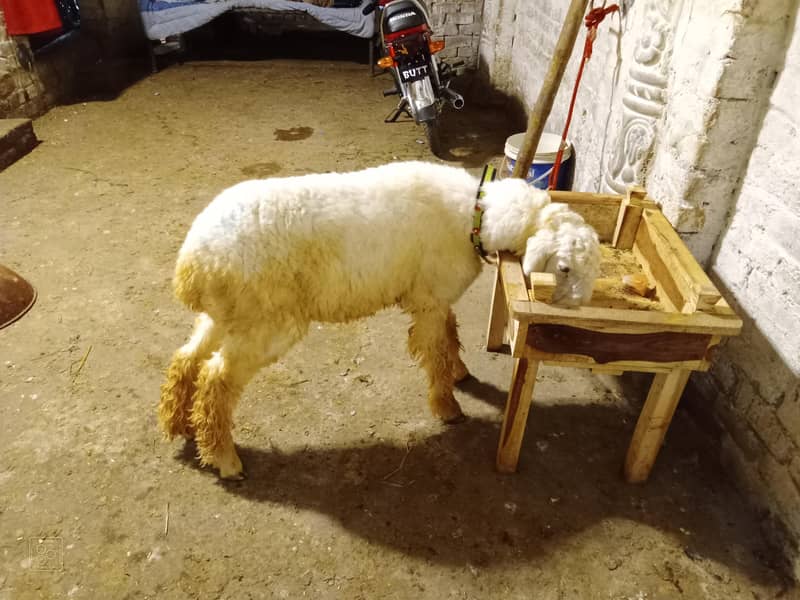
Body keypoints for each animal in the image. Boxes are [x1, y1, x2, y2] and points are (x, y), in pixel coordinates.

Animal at [159, 161, 600, 479]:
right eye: (563, 268)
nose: (577, 313)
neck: (476, 216)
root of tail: (192, 266)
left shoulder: (433, 296)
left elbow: (451, 336)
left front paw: (459, 374)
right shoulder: (429, 300)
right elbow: (436, 351)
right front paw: (447, 405)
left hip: (229, 314)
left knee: (186, 358)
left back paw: (179, 424)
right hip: (268, 321)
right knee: (216, 379)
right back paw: (224, 459)